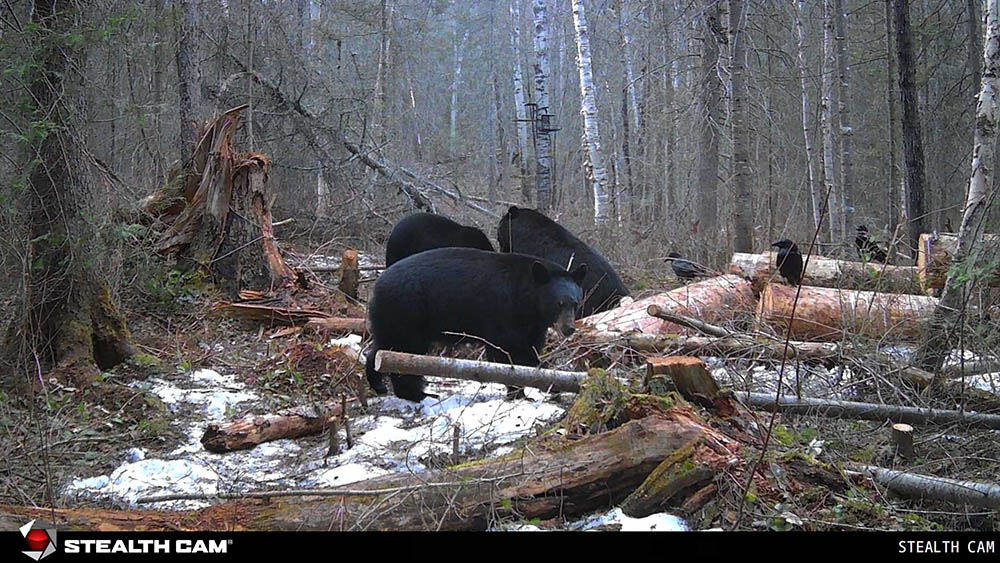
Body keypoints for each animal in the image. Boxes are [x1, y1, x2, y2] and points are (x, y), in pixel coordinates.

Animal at [366, 247, 587, 402]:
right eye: (558, 304)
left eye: (575, 303)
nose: (569, 329)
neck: (527, 299)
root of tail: (377, 284)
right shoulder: (504, 315)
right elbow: (509, 352)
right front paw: (531, 388)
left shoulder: (531, 325)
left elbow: (529, 349)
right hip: (408, 313)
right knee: (403, 352)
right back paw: (416, 394)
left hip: (393, 318)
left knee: (381, 348)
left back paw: (379, 385)